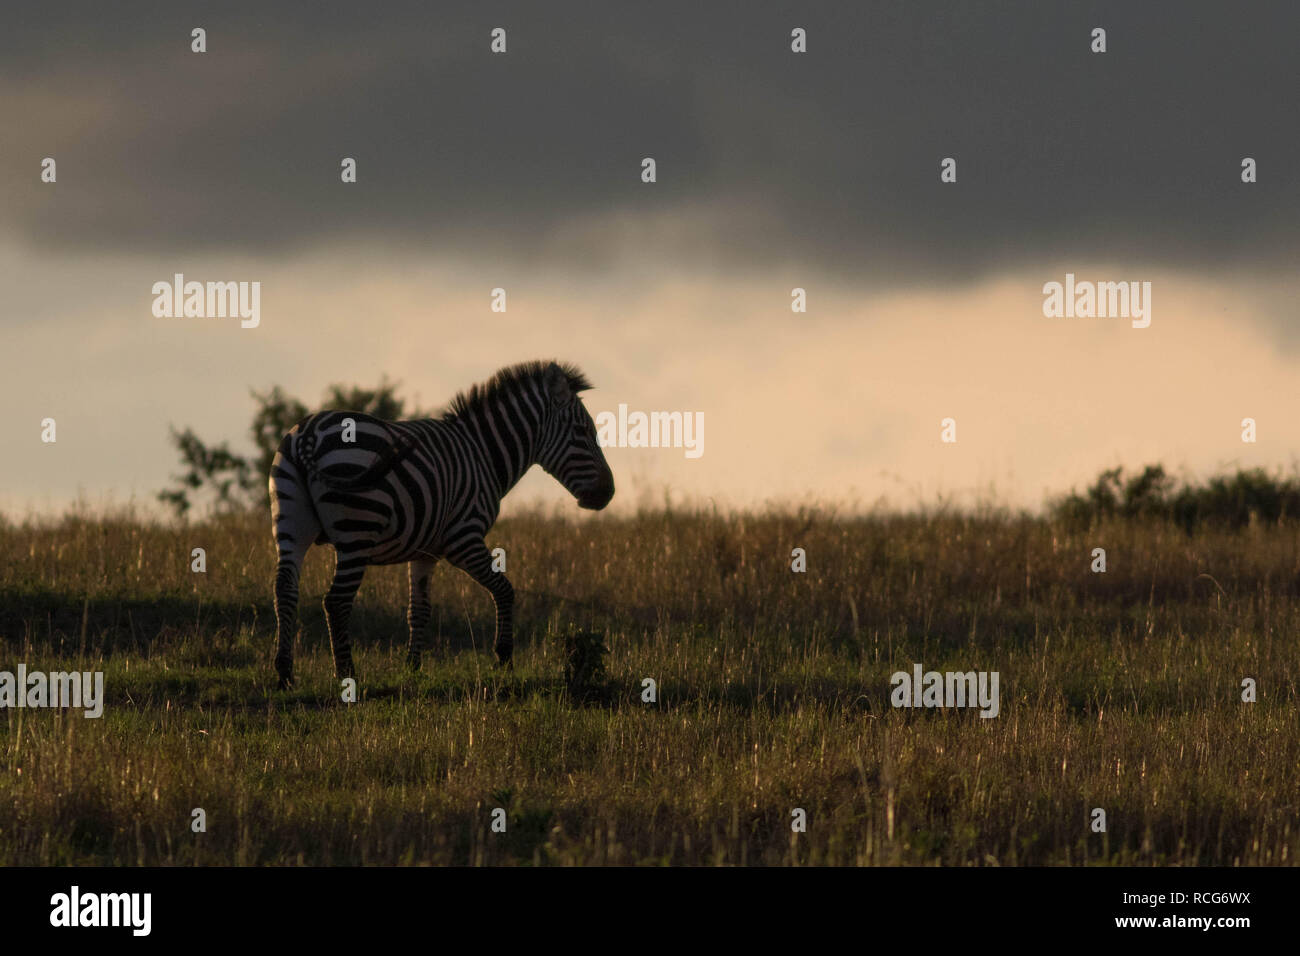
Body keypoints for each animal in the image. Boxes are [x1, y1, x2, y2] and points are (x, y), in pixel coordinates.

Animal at [268, 360, 615, 689]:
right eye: (583, 430)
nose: (609, 493)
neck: (483, 453)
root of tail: (309, 433)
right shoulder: (464, 539)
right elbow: (504, 589)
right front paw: (504, 659)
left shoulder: (425, 551)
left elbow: (418, 609)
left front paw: (412, 668)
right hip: (357, 532)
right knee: (336, 601)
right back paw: (347, 675)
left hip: (290, 522)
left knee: (285, 588)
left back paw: (285, 673)